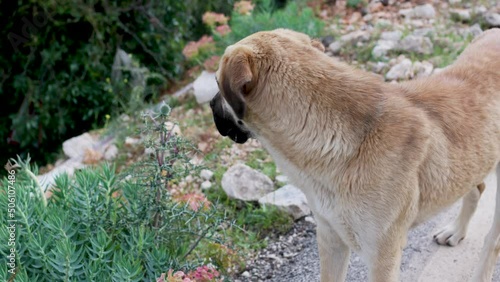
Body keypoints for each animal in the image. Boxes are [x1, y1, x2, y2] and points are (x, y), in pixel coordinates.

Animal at [209, 29, 500, 282]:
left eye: (216, 82)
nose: (210, 104)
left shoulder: (383, 257)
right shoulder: (330, 239)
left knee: (492, 241)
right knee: (476, 188)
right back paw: (456, 231)